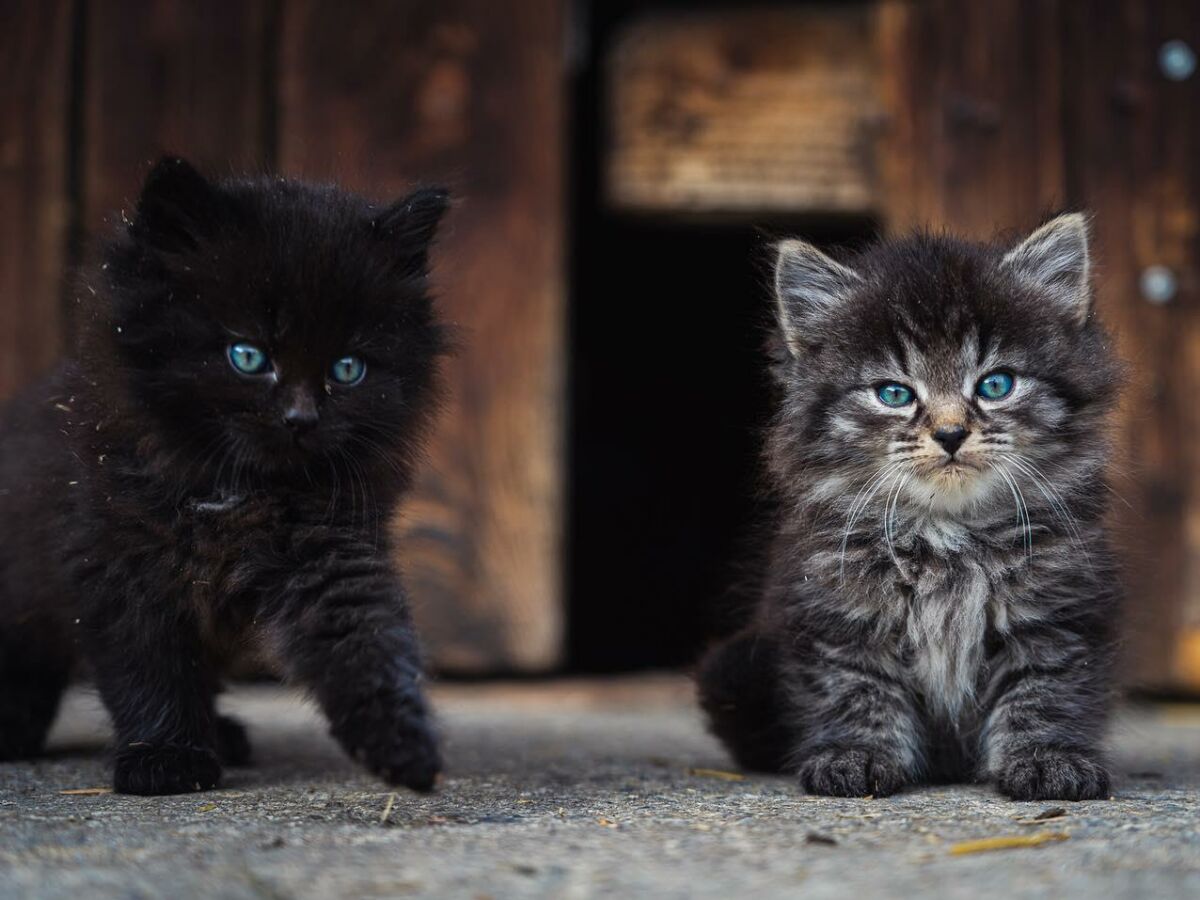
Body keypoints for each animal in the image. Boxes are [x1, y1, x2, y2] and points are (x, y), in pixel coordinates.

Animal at [0, 160, 451, 796]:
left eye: (348, 369)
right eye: (247, 357)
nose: (301, 419)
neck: (232, 490)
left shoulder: (332, 547)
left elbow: (367, 638)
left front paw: (401, 742)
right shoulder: (117, 561)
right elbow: (150, 670)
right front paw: (165, 758)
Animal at [700, 213, 1118, 801]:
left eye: (996, 384)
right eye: (894, 394)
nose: (950, 433)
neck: (948, 535)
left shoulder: (1058, 611)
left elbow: (1043, 690)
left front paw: (1046, 759)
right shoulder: (838, 611)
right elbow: (857, 689)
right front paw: (858, 756)